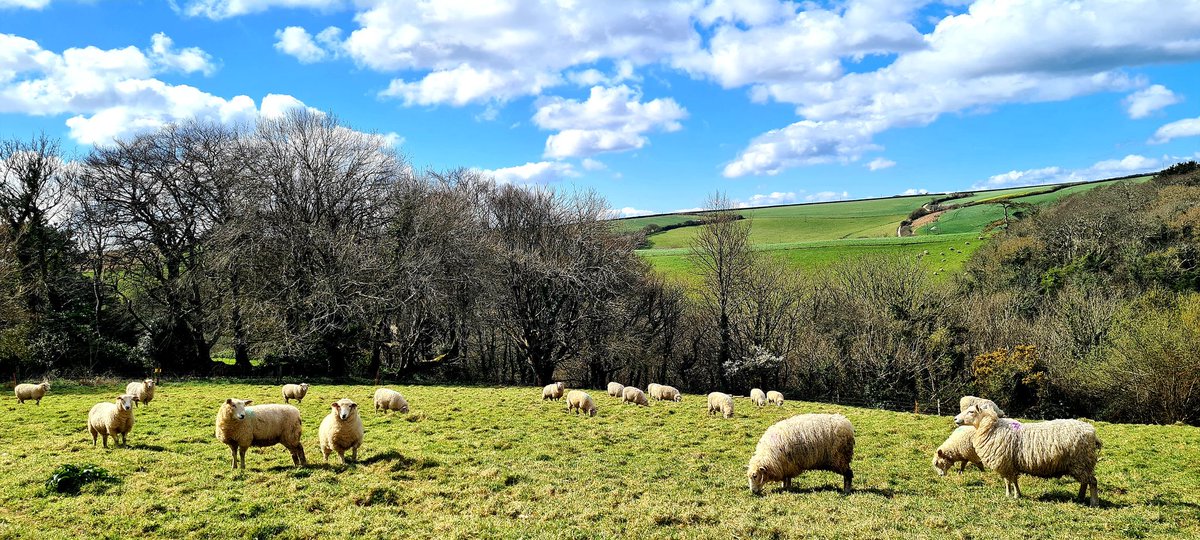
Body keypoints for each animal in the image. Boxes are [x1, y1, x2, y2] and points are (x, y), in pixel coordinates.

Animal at [954, 404, 1101, 506]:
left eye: (971, 411)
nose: (955, 419)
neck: (992, 428)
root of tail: (1092, 432)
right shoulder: (1009, 464)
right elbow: (1011, 481)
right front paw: (1014, 494)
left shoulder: (1005, 463)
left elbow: (1009, 481)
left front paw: (1012, 495)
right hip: (1081, 464)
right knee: (1085, 481)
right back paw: (1080, 497)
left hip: (1081, 461)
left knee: (1092, 481)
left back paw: (1094, 502)